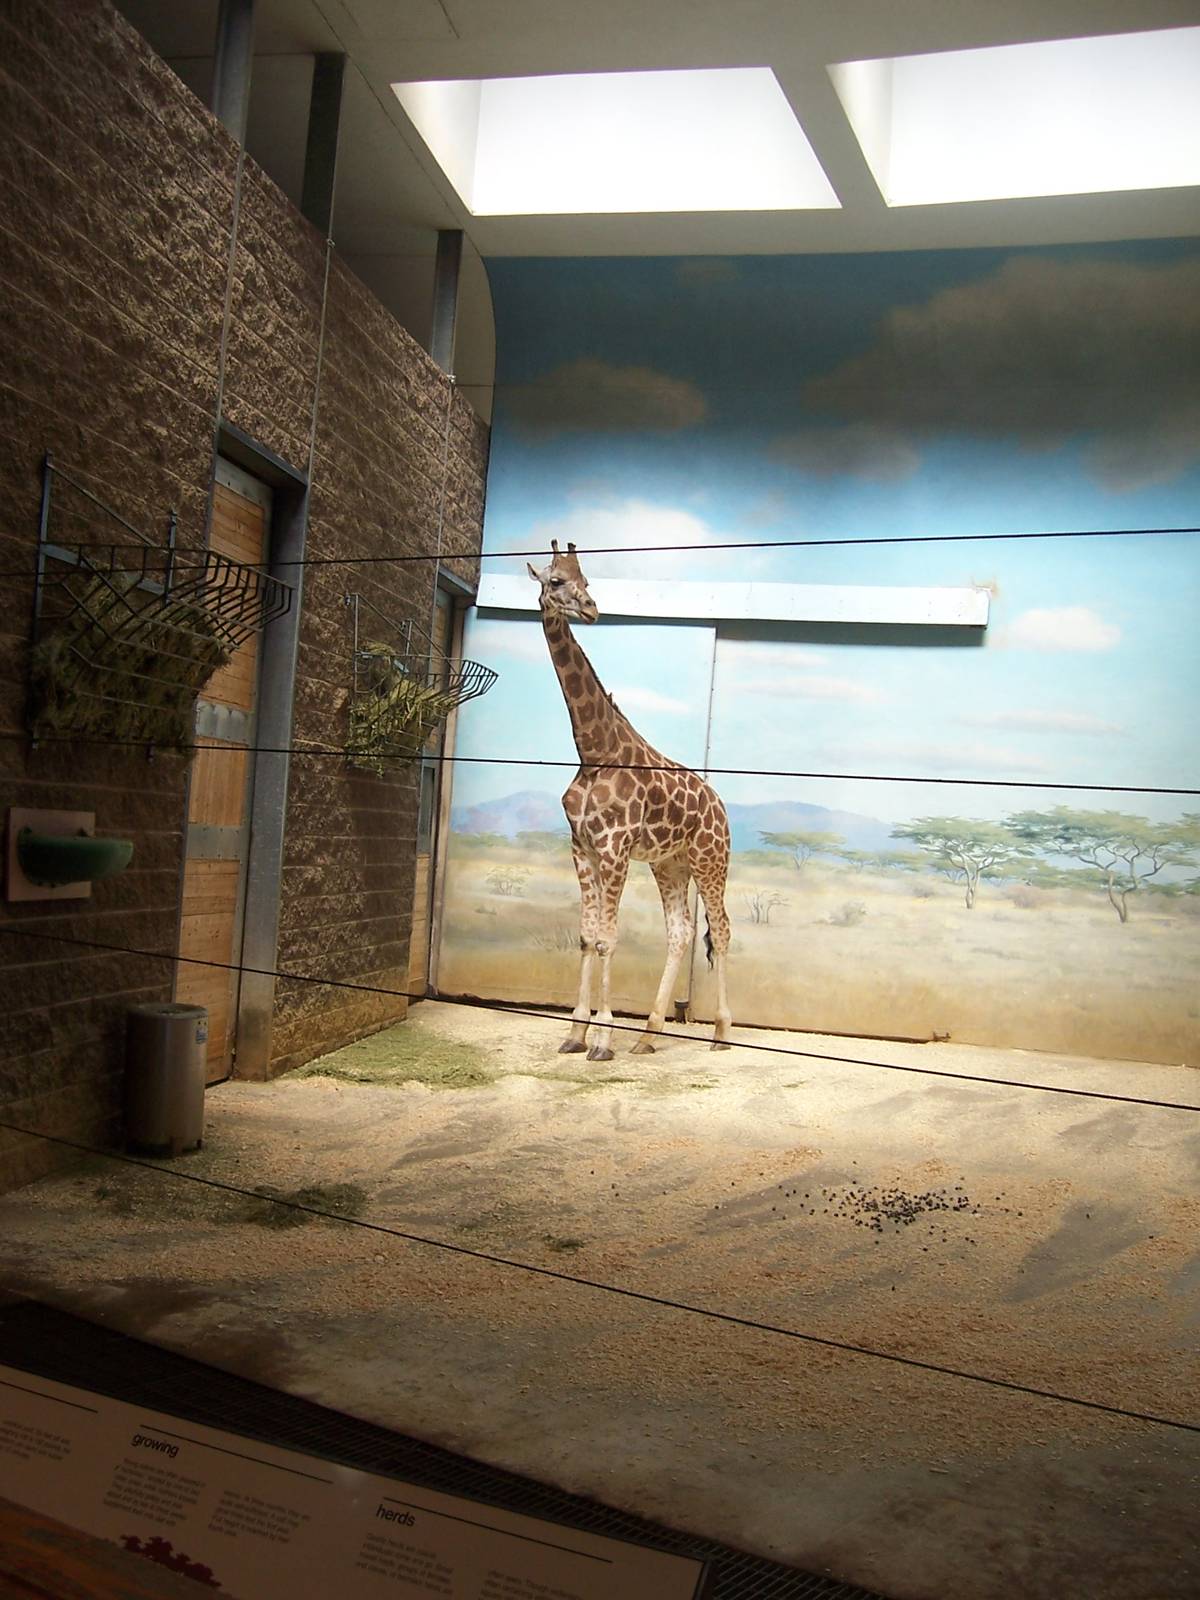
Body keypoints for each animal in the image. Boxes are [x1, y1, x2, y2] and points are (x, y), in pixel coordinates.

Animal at [526, 540, 732, 1060]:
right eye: (555, 581)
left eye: (588, 582)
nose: (591, 609)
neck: (594, 751)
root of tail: (721, 806)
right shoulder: (582, 848)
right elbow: (586, 937)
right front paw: (574, 1034)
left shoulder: (615, 848)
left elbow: (607, 940)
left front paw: (601, 1039)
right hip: (670, 864)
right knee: (681, 933)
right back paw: (648, 1035)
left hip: (711, 860)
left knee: (720, 931)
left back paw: (721, 1032)